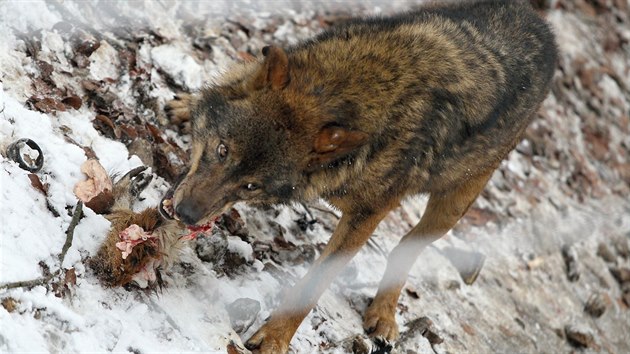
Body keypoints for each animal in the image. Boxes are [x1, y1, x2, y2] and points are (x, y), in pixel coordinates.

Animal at [163, 2, 556, 352]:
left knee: (406, 247)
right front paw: (189, 105)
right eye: (222, 150)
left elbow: (314, 285)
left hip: (451, 209)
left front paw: (274, 340)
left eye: (251, 186)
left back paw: (384, 314)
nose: (185, 214)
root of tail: (542, 26)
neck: (356, 89)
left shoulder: (367, 216)